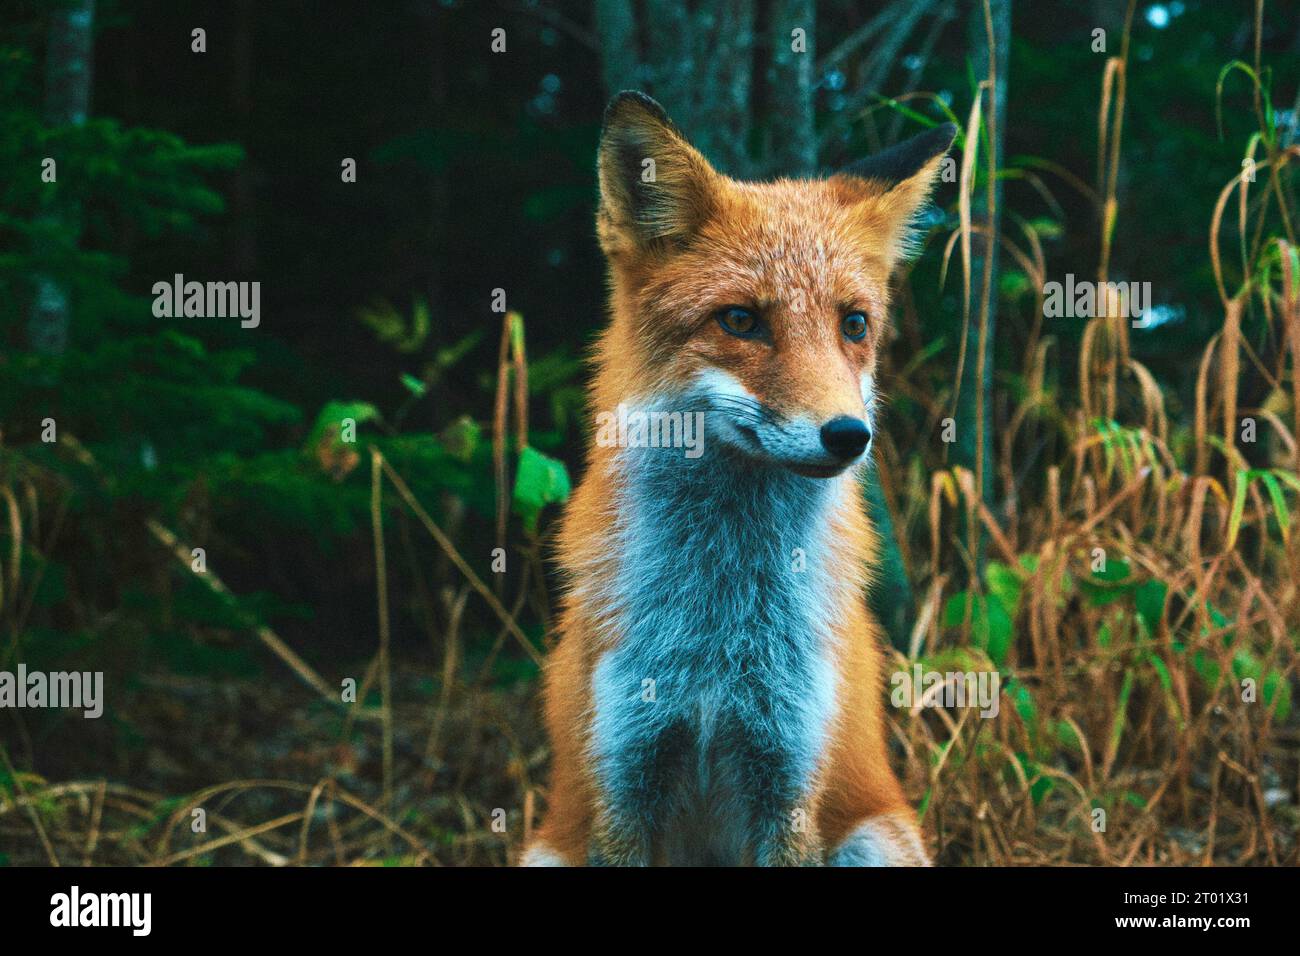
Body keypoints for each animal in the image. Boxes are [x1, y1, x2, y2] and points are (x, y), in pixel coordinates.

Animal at [522, 91, 961, 868]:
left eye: (854, 324)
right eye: (740, 320)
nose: (848, 436)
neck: (719, 630)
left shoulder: (787, 776)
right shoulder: (624, 778)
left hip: (874, 839)